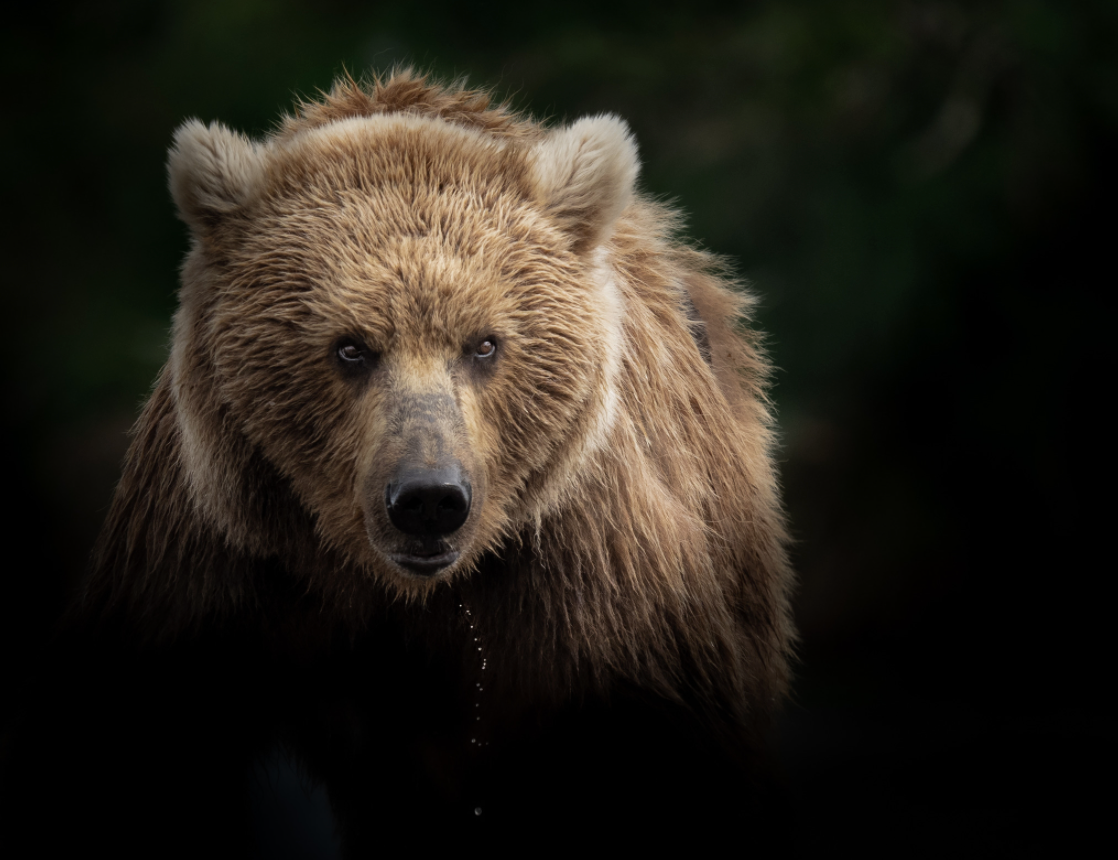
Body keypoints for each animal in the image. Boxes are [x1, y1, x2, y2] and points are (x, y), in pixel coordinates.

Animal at [2, 71, 795, 855]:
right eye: (350, 347)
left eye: (485, 343)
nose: (428, 498)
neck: (406, 592)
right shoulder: (217, 558)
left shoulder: (595, 578)